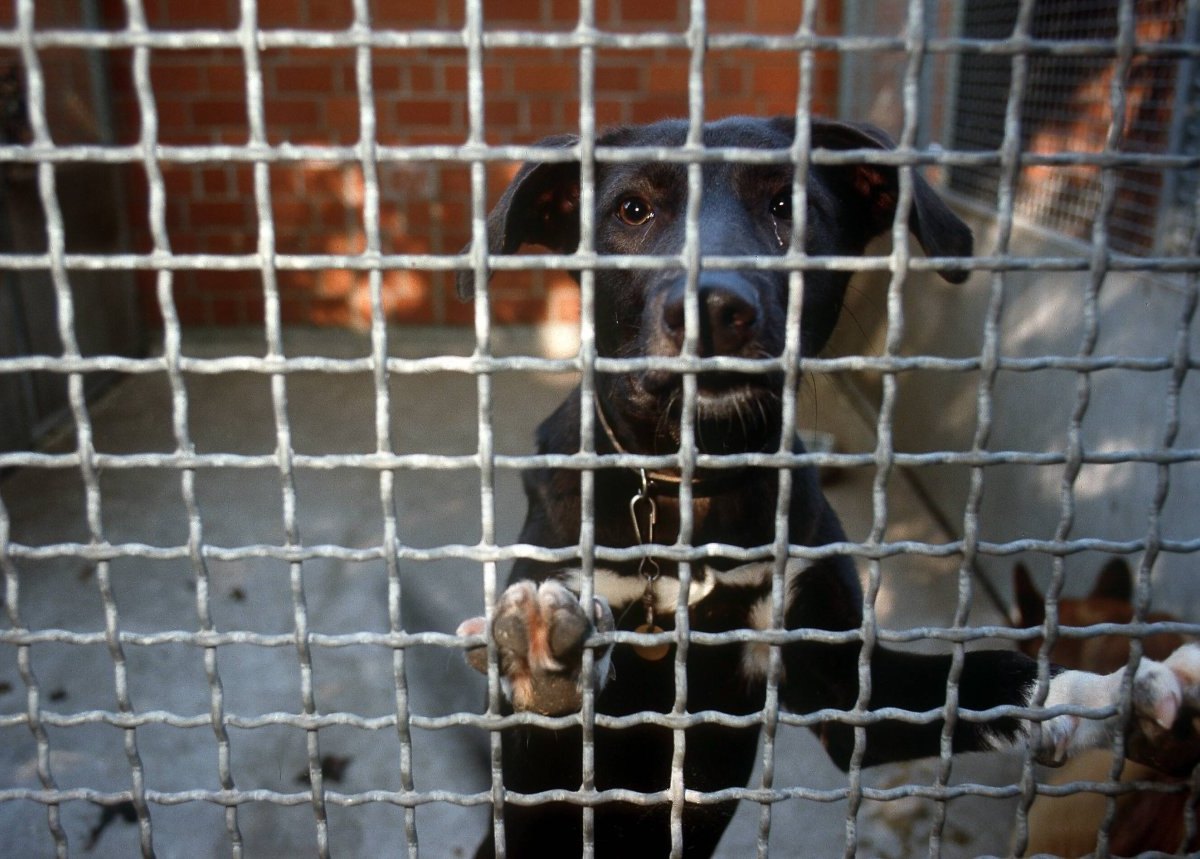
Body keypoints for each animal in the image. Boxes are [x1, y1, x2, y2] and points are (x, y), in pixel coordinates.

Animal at [451, 115, 1200, 858]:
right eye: (633, 210)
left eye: (788, 206)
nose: (712, 306)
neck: (697, 488)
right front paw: (547, 664)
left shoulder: (848, 686)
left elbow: (996, 676)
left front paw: (1116, 693)